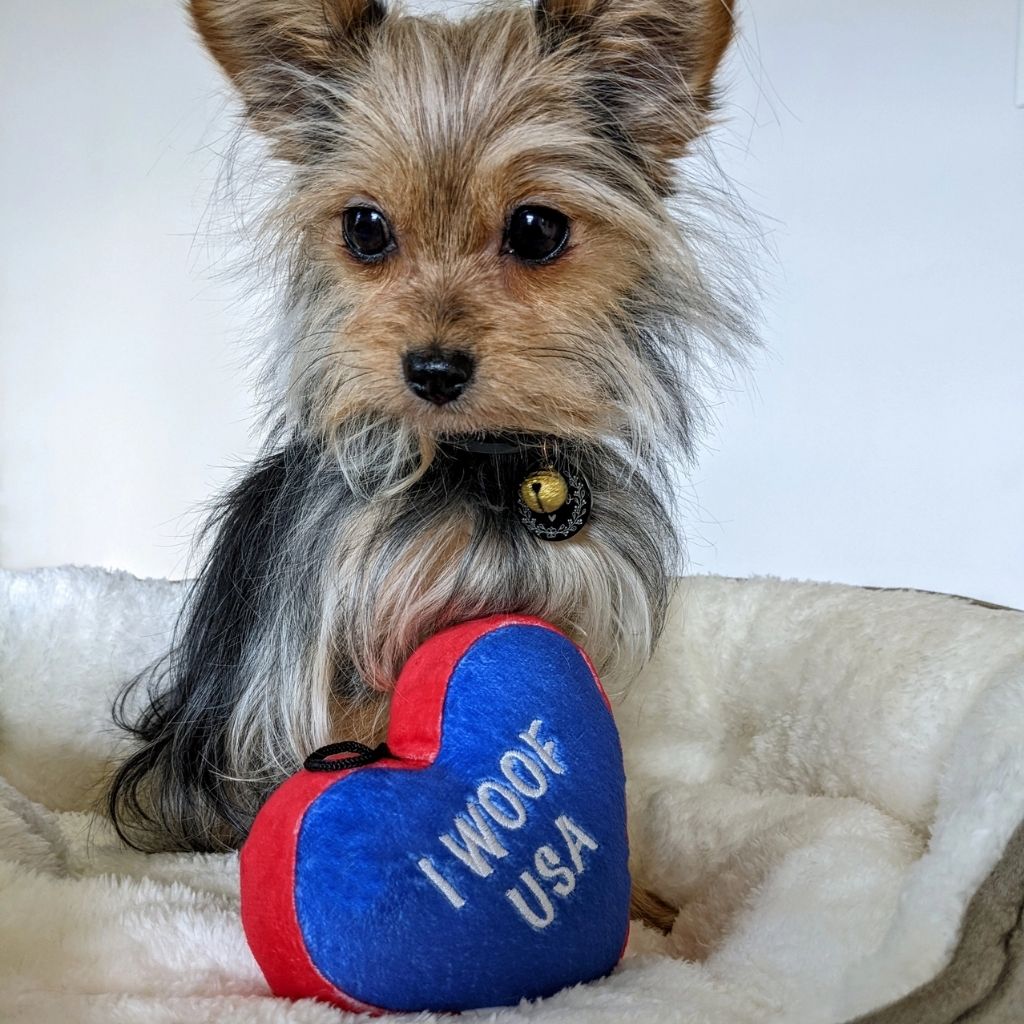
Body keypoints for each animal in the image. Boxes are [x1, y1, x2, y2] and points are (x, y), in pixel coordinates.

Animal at [108, 0, 753, 888]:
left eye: (537, 229)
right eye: (365, 228)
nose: (433, 370)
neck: (481, 465)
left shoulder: (566, 623)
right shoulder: (337, 661)